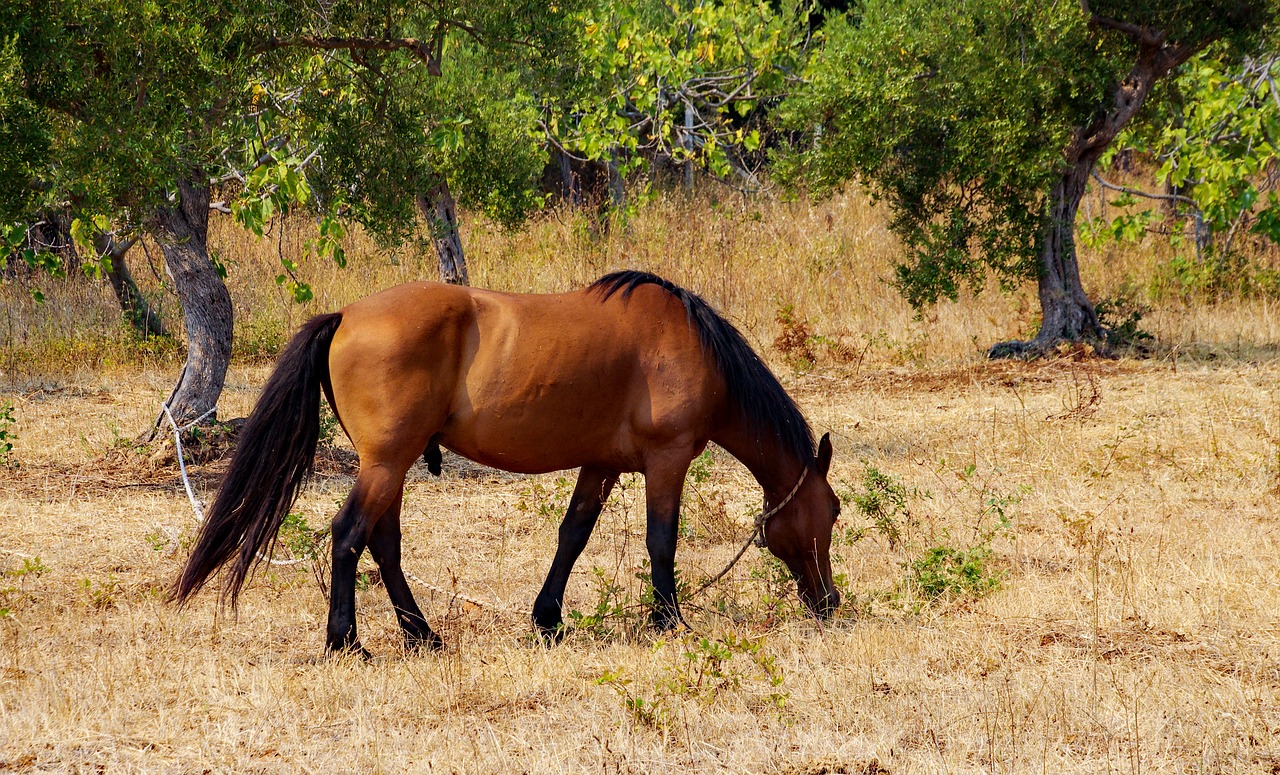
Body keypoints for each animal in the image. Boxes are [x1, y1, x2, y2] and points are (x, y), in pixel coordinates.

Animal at [175, 271, 844, 653]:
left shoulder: (600, 465)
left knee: (382, 545)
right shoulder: (667, 460)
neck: (688, 344)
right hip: (385, 464)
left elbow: (572, 535)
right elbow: (662, 541)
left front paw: (548, 621)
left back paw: (423, 636)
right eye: (833, 512)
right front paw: (668, 622)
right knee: (348, 535)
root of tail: (346, 316)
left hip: (390, 466)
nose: (831, 603)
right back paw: (346, 643)